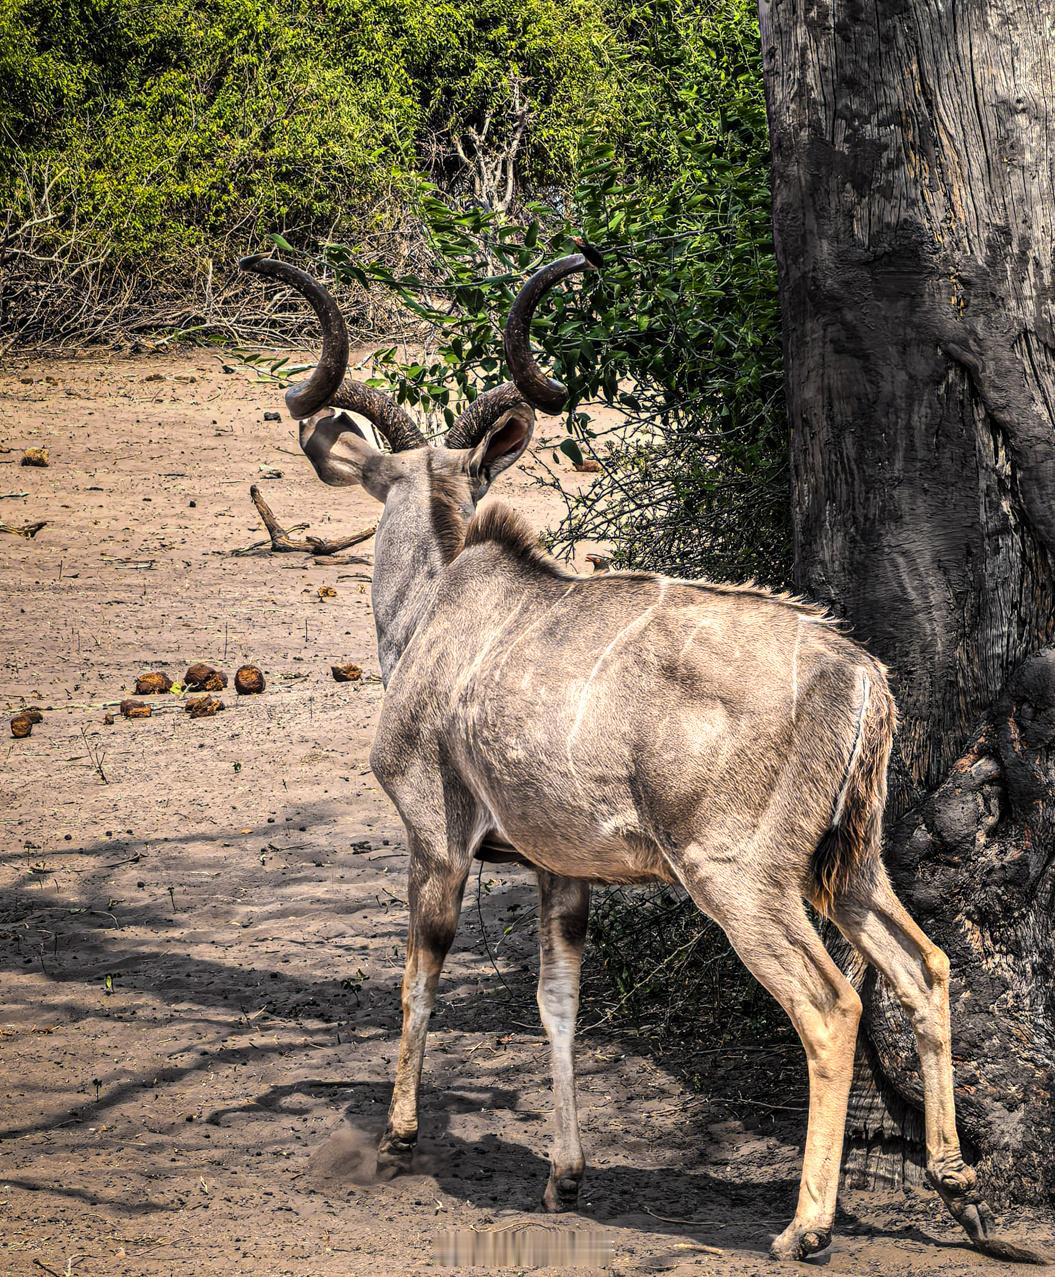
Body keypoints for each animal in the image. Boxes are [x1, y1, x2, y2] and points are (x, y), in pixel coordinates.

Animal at [240, 251, 1037, 1266]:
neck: (439, 606)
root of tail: (858, 674)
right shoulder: (559, 869)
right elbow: (559, 1000)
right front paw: (563, 1176)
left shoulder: (437, 841)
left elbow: (420, 977)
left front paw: (397, 1138)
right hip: (847, 868)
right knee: (924, 966)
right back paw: (959, 1192)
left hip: (738, 879)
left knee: (831, 1007)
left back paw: (806, 1225)